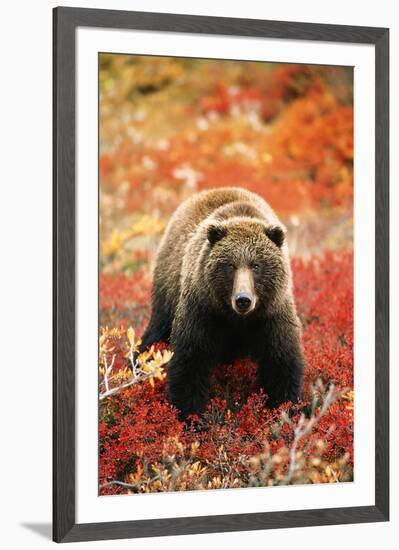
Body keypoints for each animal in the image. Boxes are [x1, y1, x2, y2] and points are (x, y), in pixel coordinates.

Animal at [139, 188, 304, 420]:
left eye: (256, 265)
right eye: (230, 265)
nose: (243, 299)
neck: (237, 319)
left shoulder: (272, 315)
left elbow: (281, 363)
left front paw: (284, 410)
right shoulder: (202, 310)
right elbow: (189, 362)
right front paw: (191, 416)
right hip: (168, 289)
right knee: (156, 332)